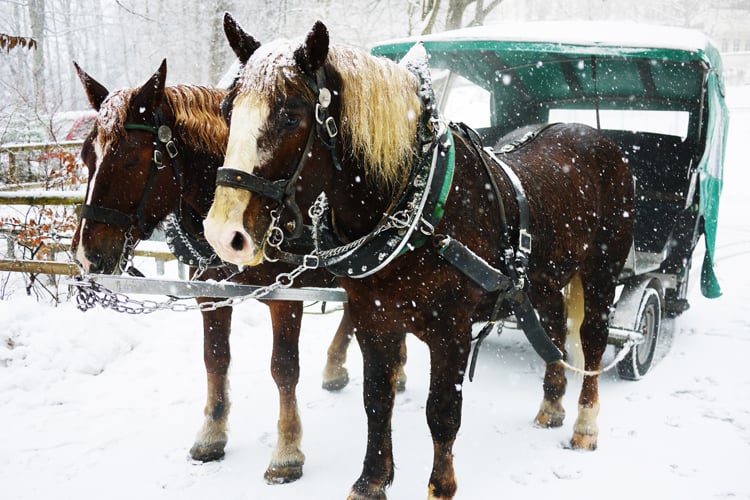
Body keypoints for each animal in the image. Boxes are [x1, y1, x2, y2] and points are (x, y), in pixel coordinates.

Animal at [69, 58, 400, 484]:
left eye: (130, 160)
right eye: (85, 158)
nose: (86, 256)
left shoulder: (286, 297)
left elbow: (283, 369)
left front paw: (287, 451)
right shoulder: (211, 293)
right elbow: (215, 359)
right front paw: (211, 433)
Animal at [204, 16, 636, 500]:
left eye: (291, 114)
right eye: (227, 109)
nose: (223, 233)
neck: (414, 208)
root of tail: (595, 136)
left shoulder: (452, 329)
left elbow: (442, 411)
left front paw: (439, 486)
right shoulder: (375, 318)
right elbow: (376, 398)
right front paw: (371, 480)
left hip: (601, 272)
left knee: (593, 339)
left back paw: (585, 424)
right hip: (542, 280)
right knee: (555, 329)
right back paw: (552, 404)